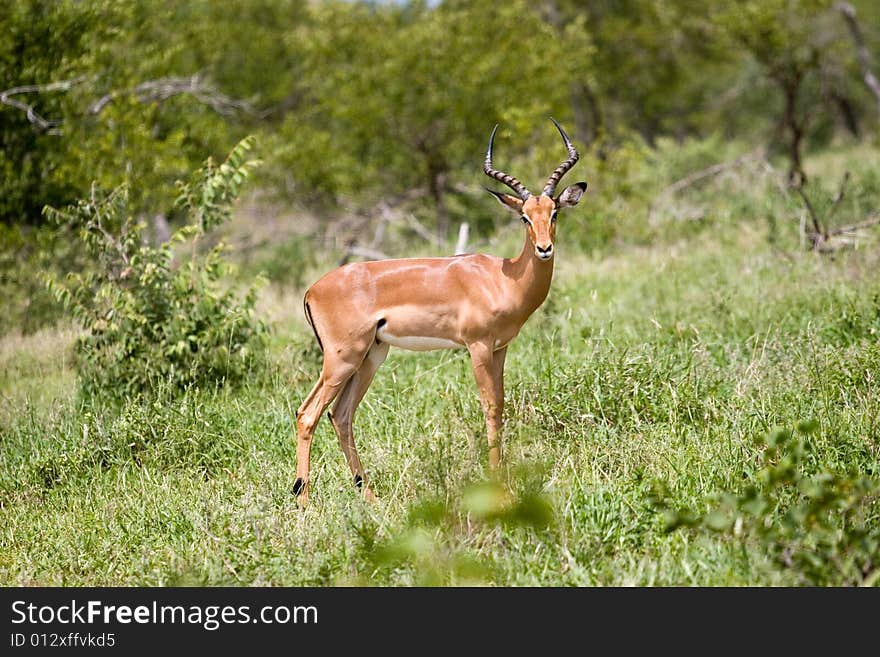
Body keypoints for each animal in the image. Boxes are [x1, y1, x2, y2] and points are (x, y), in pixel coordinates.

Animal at [292, 120, 588, 504]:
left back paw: (369, 495)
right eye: (524, 217)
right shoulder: (478, 347)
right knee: (307, 414)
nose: (544, 249)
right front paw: (498, 485)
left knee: (340, 415)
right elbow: (489, 407)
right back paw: (303, 500)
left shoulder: (501, 348)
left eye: (554, 213)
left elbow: (501, 405)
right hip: (342, 359)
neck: (502, 278)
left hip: (370, 357)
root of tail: (311, 289)